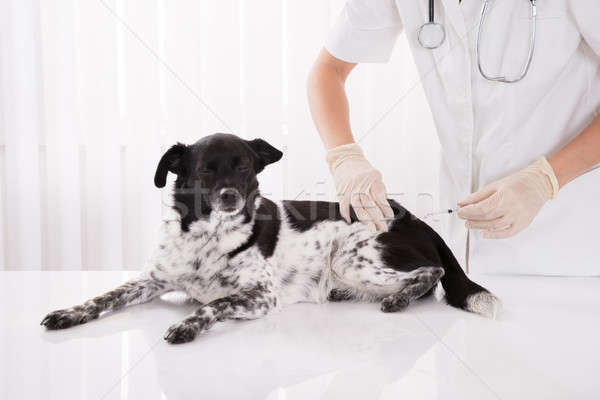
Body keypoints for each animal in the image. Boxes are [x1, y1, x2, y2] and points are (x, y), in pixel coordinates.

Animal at [42, 132, 500, 344]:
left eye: (244, 166)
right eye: (205, 169)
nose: (230, 196)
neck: (207, 240)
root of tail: (419, 219)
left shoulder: (261, 296)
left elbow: (213, 305)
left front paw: (188, 325)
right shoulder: (150, 280)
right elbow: (103, 296)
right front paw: (69, 313)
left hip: (349, 256)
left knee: (431, 272)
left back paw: (399, 298)